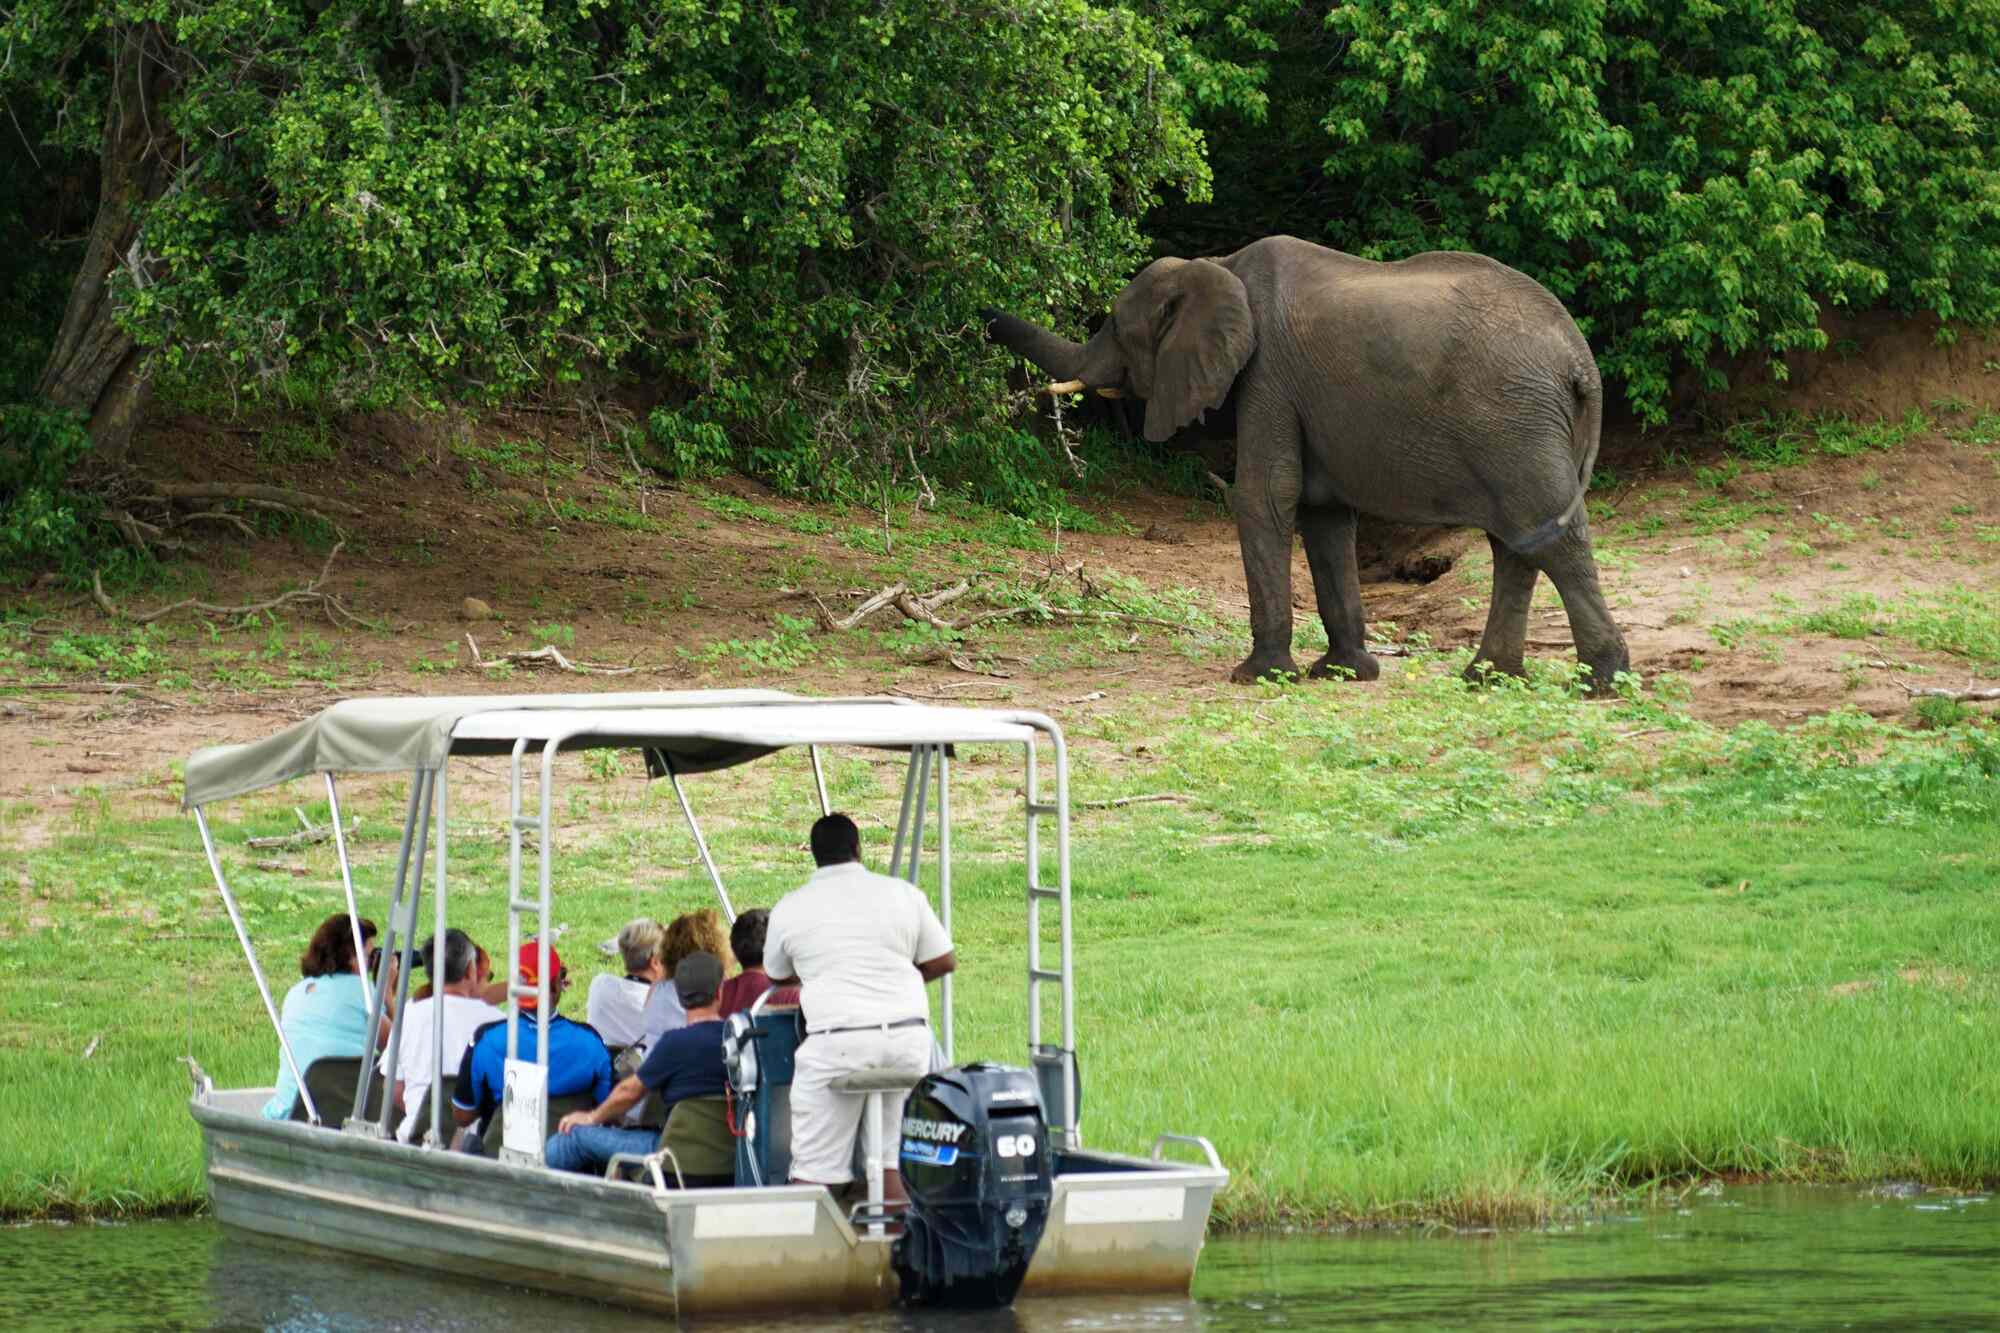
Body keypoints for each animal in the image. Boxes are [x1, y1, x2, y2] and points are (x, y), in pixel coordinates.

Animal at [984, 232, 1624, 684]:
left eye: (1118, 327)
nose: (985, 321)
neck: (1219, 263)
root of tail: (1582, 362)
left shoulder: (1268, 374)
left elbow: (1265, 496)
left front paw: (1259, 677)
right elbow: (1324, 516)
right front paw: (1343, 674)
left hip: (1517, 428)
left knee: (1549, 539)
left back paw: (1601, 681)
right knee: (1517, 544)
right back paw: (1486, 680)